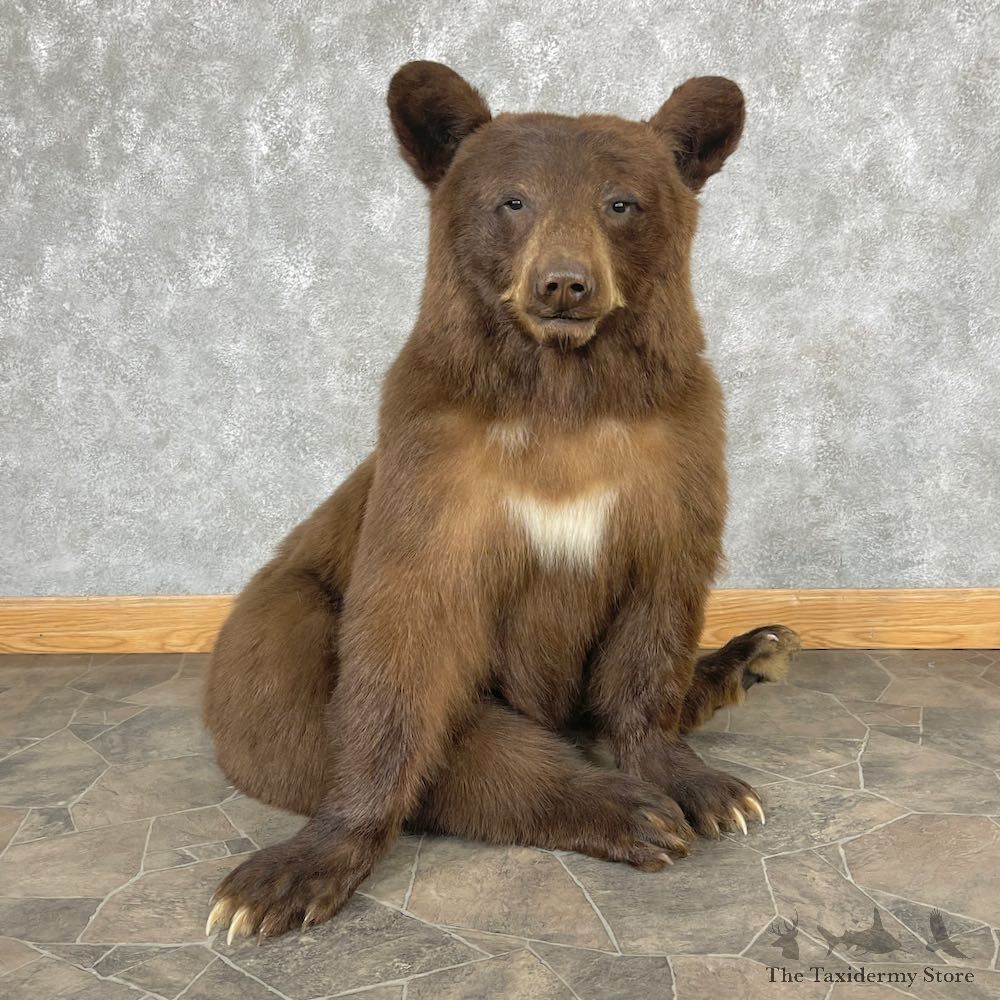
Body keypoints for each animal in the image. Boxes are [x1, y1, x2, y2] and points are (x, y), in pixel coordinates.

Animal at [202, 60, 800, 943]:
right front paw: (296, 868)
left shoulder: (672, 465)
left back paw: (753, 652)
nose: (565, 282)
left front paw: (703, 784)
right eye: (512, 200)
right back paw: (632, 808)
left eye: (621, 202)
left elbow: (653, 624)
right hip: (278, 624)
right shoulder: (440, 471)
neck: (563, 393)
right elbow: (403, 660)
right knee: (332, 722)